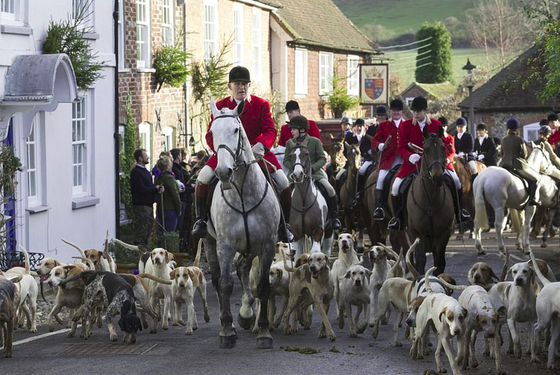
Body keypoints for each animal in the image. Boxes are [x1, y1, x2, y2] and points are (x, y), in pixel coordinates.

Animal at [203, 100, 280, 350]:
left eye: (236, 130)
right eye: (212, 132)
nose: (223, 171)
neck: (243, 193)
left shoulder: (267, 245)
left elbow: (263, 286)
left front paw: (264, 332)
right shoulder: (225, 246)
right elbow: (226, 284)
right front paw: (227, 331)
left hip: (251, 247)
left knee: (244, 268)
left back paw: (246, 313)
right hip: (210, 242)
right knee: (218, 280)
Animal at [406, 127, 456, 276]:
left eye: (443, 148)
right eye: (426, 150)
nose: (438, 176)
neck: (430, 201)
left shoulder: (443, 232)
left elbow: (439, 261)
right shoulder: (417, 232)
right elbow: (421, 259)